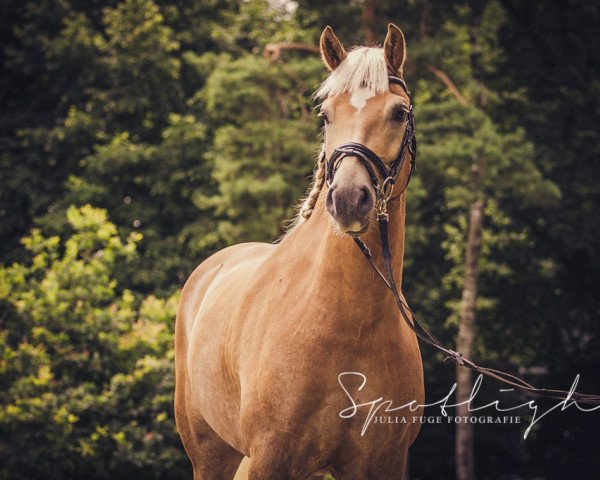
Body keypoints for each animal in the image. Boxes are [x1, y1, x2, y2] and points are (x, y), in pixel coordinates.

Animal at [173, 24, 424, 478]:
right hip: (211, 456)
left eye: (399, 113)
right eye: (325, 114)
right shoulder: (270, 459)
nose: (348, 199)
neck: (348, 325)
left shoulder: (383, 464)